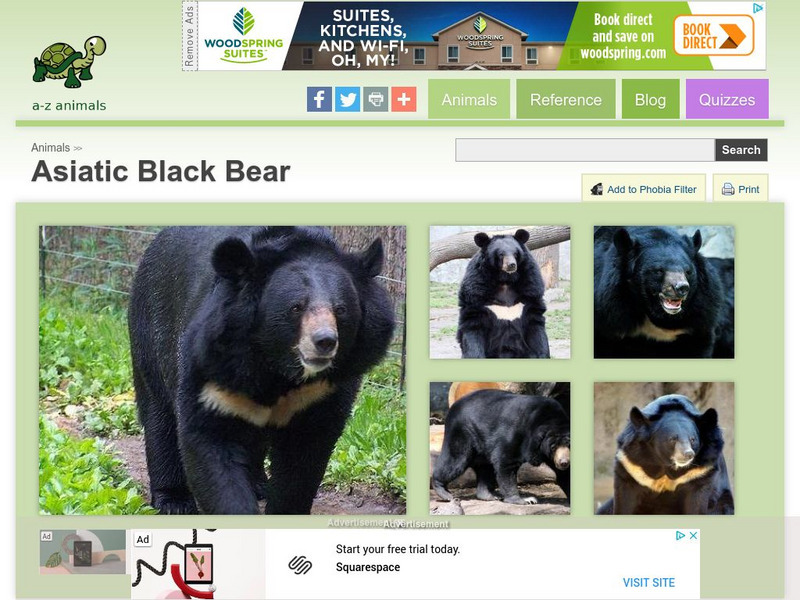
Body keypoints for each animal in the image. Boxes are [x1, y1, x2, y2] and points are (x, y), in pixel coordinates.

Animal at [128, 226, 395, 514]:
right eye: (296, 307)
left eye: (341, 309)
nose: (324, 341)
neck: (276, 366)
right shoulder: (212, 367)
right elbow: (210, 441)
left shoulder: (324, 390)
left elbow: (302, 458)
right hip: (152, 325)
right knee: (159, 415)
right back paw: (173, 500)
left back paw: (259, 484)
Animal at [432, 390, 570, 505]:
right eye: (553, 446)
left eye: (569, 444)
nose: (563, 462)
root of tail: (454, 405)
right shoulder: (516, 433)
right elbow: (505, 461)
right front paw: (524, 500)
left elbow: (566, 474)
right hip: (463, 431)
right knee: (455, 461)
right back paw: (445, 492)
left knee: (485, 469)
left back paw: (489, 495)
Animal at [456, 229, 550, 358]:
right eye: (501, 254)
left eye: (515, 253)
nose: (511, 265)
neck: (505, 280)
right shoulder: (475, 290)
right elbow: (473, 326)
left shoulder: (531, 287)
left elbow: (535, 326)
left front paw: (542, 354)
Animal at [596, 394, 733, 515]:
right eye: (672, 439)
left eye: (693, 439)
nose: (688, 454)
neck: (665, 464)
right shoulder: (631, 464)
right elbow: (625, 501)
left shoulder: (700, 470)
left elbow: (697, 502)